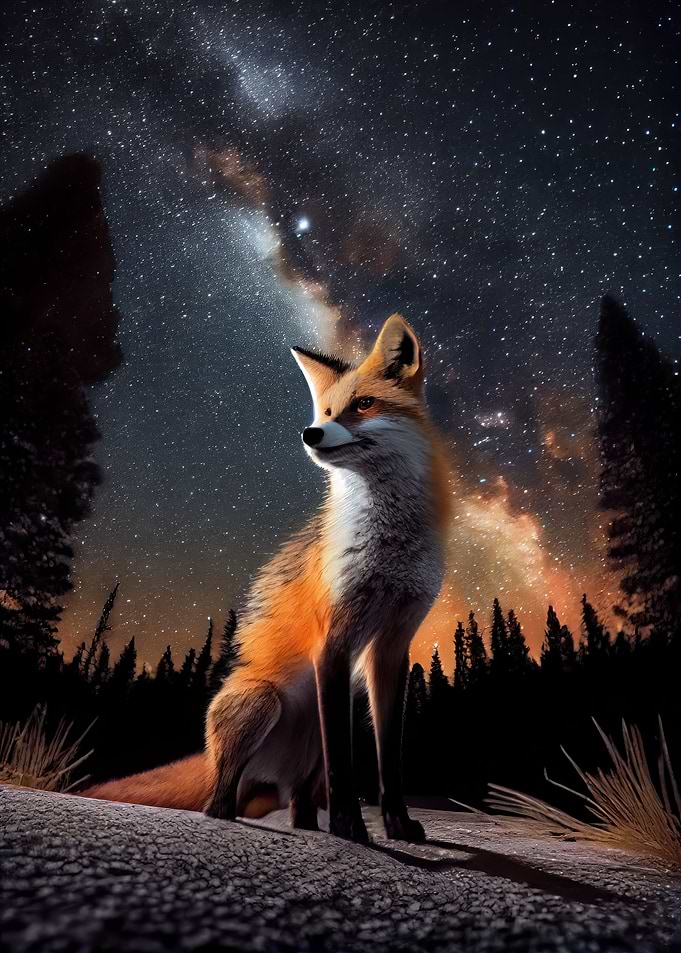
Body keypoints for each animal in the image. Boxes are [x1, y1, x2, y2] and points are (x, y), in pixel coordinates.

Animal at [83, 314, 451, 843]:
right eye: (325, 410)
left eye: (363, 405)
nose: (310, 433)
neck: (389, 548)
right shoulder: (333, 642)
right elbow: (344, 765)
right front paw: (349, 826)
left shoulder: (392, 646)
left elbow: (389, 761)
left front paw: (397, 824)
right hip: (261, 702)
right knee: (221, 800)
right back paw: (237, 812)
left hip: (305, 748)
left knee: (299, 804)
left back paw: (308, 824)